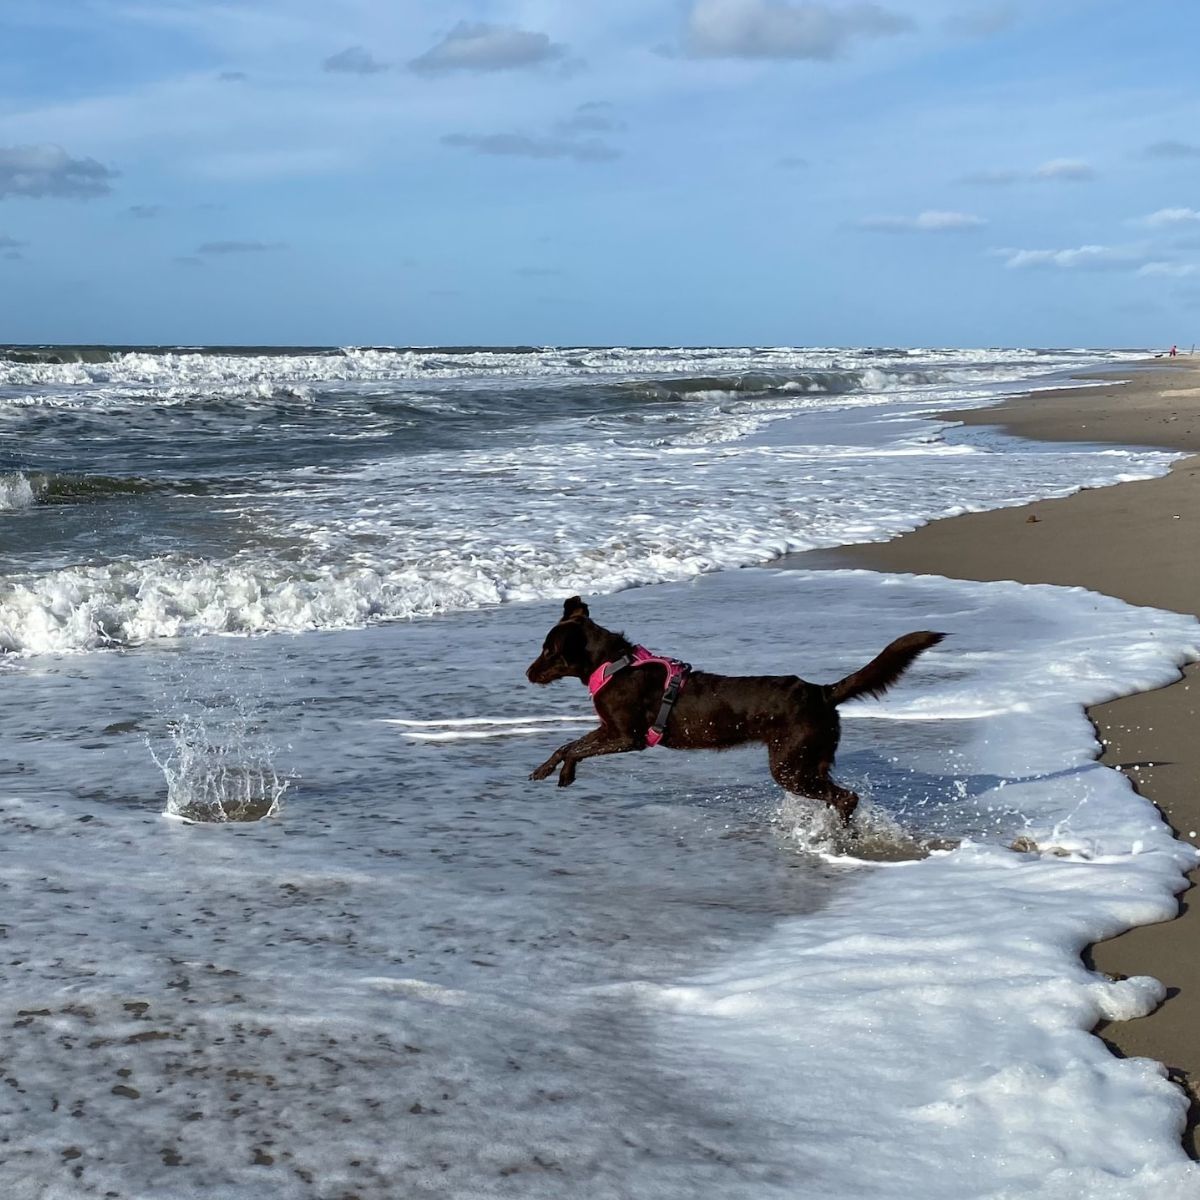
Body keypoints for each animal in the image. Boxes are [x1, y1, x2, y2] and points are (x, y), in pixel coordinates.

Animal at [525, 595, 945, 820]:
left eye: (549, 651)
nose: (527, 673)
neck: (614, 665)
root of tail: (822, 693)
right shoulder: (610, 731)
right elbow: (567, 745)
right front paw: (550, 771)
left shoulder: (626, 736)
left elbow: (575, 747)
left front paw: (559, 773)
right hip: (809, 761)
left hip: (790, 765)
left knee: (846, 797)